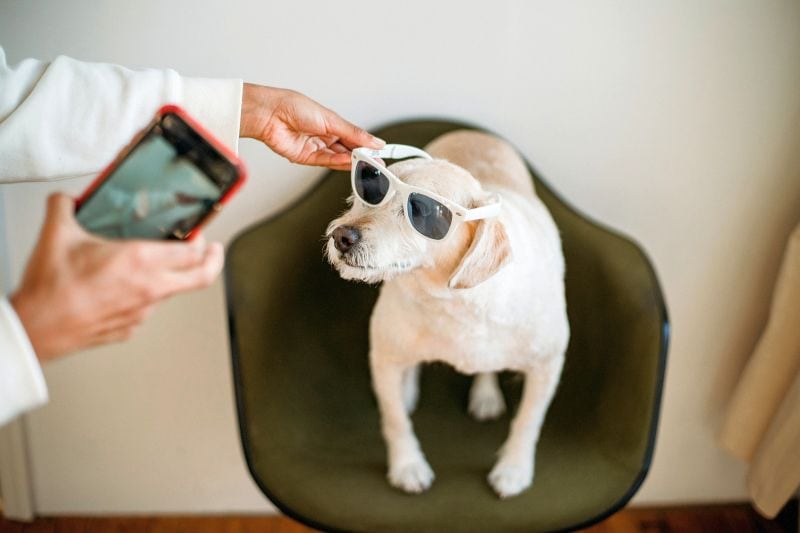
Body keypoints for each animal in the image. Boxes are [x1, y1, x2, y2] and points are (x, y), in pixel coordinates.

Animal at [324, 130, 568, 498]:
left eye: (421, 211)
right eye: (370, 188)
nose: (341, 236)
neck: (453, 302)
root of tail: (472, 132)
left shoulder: (547, 365)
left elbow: (527, 422)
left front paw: (514, 469)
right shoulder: (383, 356)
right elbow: (395, 420)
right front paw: (407, 466)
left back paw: (485, 395)